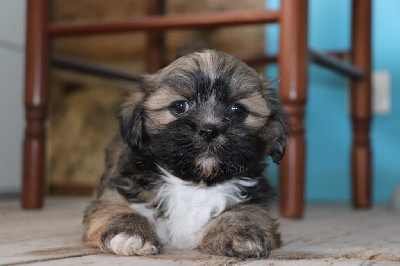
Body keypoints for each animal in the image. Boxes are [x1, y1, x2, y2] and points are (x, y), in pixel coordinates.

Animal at [83, 49, 286, 258]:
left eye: (238, 110)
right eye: (179, 107)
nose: (209, 130)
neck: (196, 183)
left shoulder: (254, 199)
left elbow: (246, 211)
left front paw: (240, 231)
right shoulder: (120, 187)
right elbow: (116, 206)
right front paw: (130, 232)